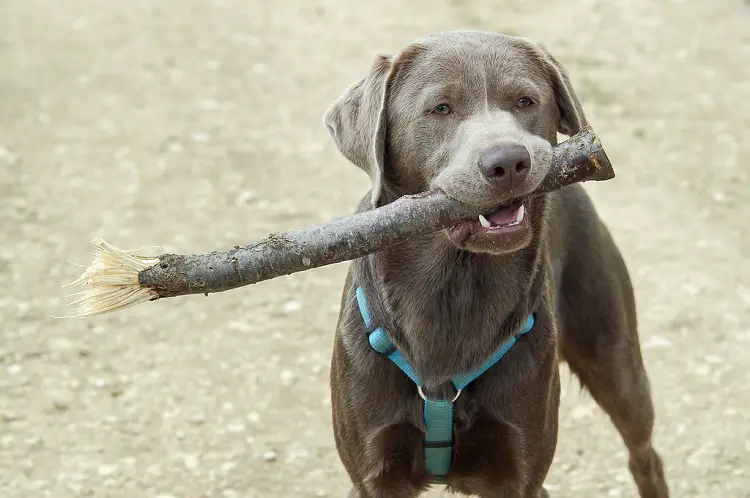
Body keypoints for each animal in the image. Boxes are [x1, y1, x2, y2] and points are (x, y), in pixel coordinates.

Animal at [324, 31, 668, 498]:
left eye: (525, 101)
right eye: (441, 108)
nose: (508, 162)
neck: (455, 287)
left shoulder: (520, 474)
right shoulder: (372, 476)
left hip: (616, 360)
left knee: (645, 453)